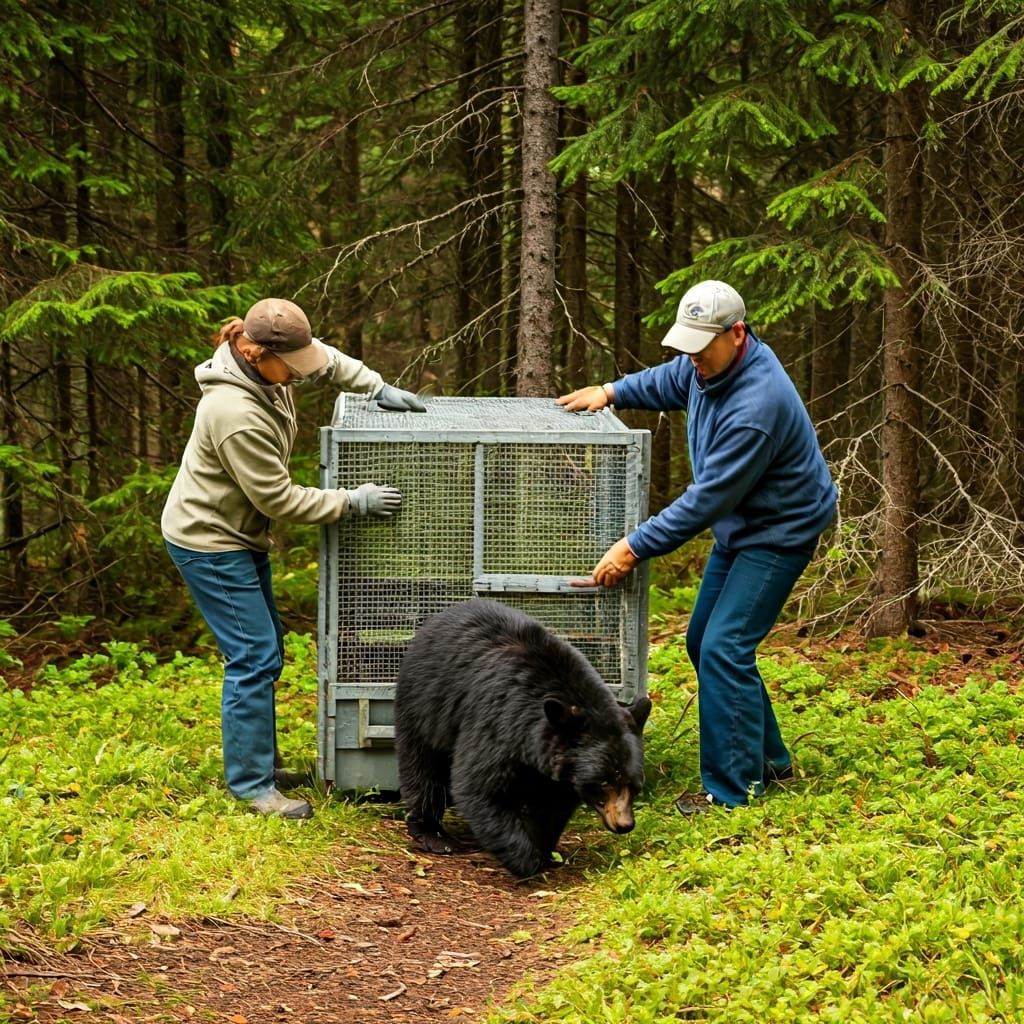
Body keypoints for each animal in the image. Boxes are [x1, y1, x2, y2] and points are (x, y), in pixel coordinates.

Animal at [394, 598, 652, 878]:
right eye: (603, 782)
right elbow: (479, 787)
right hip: (424, 706)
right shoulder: (497, 724)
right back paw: (433, 834)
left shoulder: (558, 769)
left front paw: (542, 848)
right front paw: (525, 859)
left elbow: (551, 806)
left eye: (635, 784)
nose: (625, 824)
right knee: (423, 769)